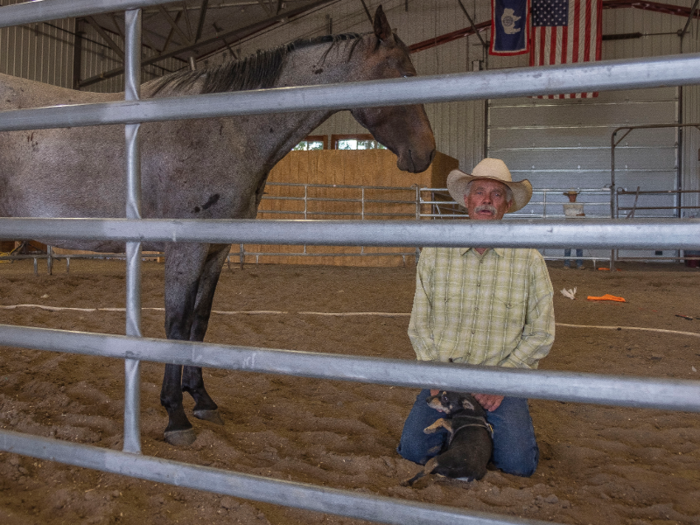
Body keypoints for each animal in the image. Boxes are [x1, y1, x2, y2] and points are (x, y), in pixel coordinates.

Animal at [0, 6, 434, 444]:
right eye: (404, 74)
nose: (426, 153)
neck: (223, 128)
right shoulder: (186, 248)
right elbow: (176, 326)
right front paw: (175, 416)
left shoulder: (216, 249)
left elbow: (199, 322)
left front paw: (201, 399)